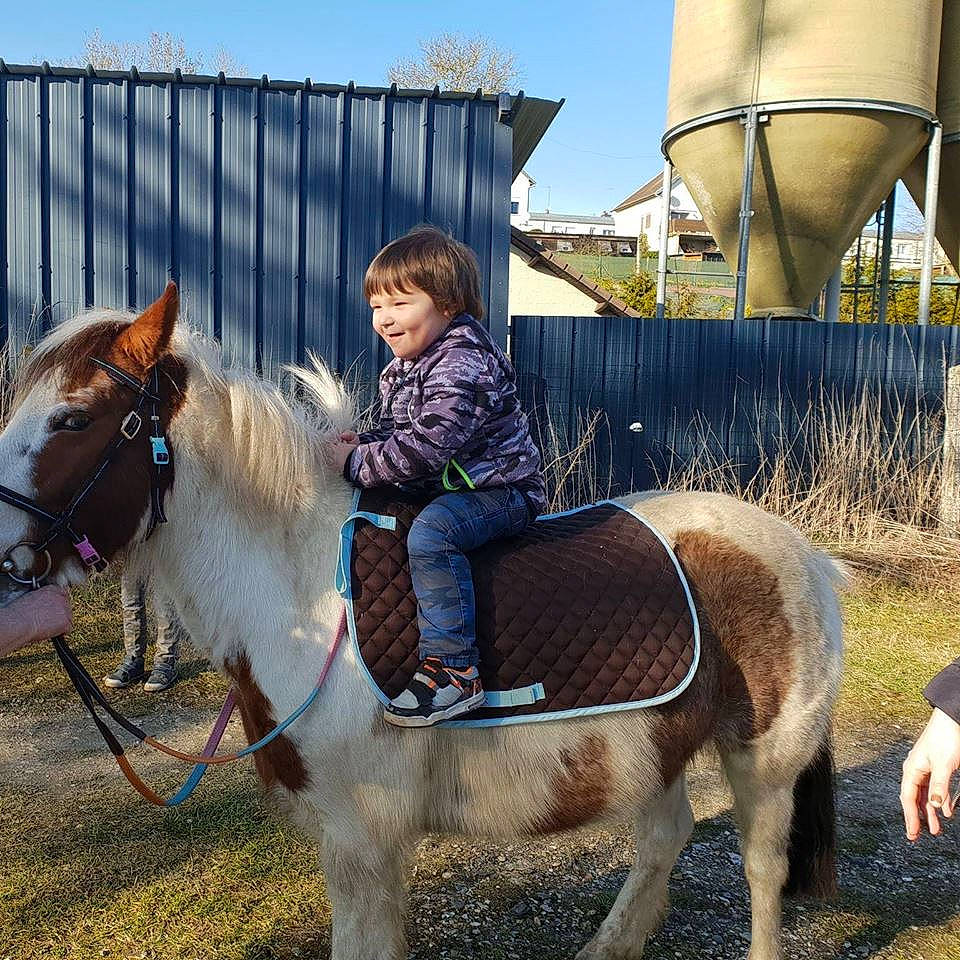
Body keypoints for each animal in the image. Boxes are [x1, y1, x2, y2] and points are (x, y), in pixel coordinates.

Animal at [0, 284, 846, 960]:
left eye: (73, 418)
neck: (307, 596)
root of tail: (806, 553)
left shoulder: (362, 843)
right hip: (651, 750)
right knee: (665, 838)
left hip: (765, 760)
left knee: (761, 869)